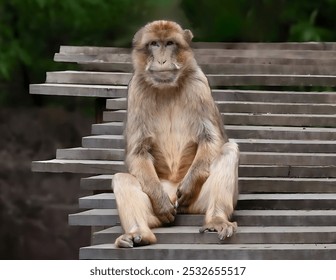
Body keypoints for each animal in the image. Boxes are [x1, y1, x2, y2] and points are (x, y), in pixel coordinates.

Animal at [113, 20, 239, 247]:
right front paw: (161, 204)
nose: (162, 60)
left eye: (170, 43)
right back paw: (139, 233)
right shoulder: (136, 89)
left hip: (196, 204)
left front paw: (188, 187)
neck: (167, 89)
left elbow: (211, 139)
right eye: (154, 44)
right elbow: (137, 151)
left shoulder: (198, 84)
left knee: (229, 150)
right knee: (122, 179)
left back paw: (216, 219)